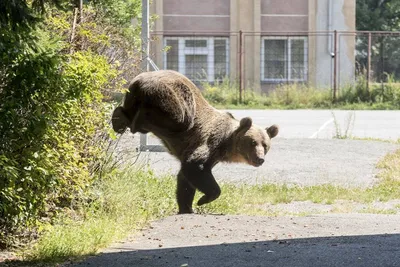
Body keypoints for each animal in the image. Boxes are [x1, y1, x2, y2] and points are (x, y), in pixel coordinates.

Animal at [111, 70, 276, 215]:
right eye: (253, 142)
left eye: (265, 145)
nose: (260, 159)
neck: (226, 144)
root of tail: (140, 80)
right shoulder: (210, 141)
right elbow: (195, 166)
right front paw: (202, 200)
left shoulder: (213, 156)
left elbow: (185, 179)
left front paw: (187, 207)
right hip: (171, 97)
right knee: (178, 117)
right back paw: (136, 121)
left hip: (131, 94)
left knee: (127, 110)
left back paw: (118, 119)